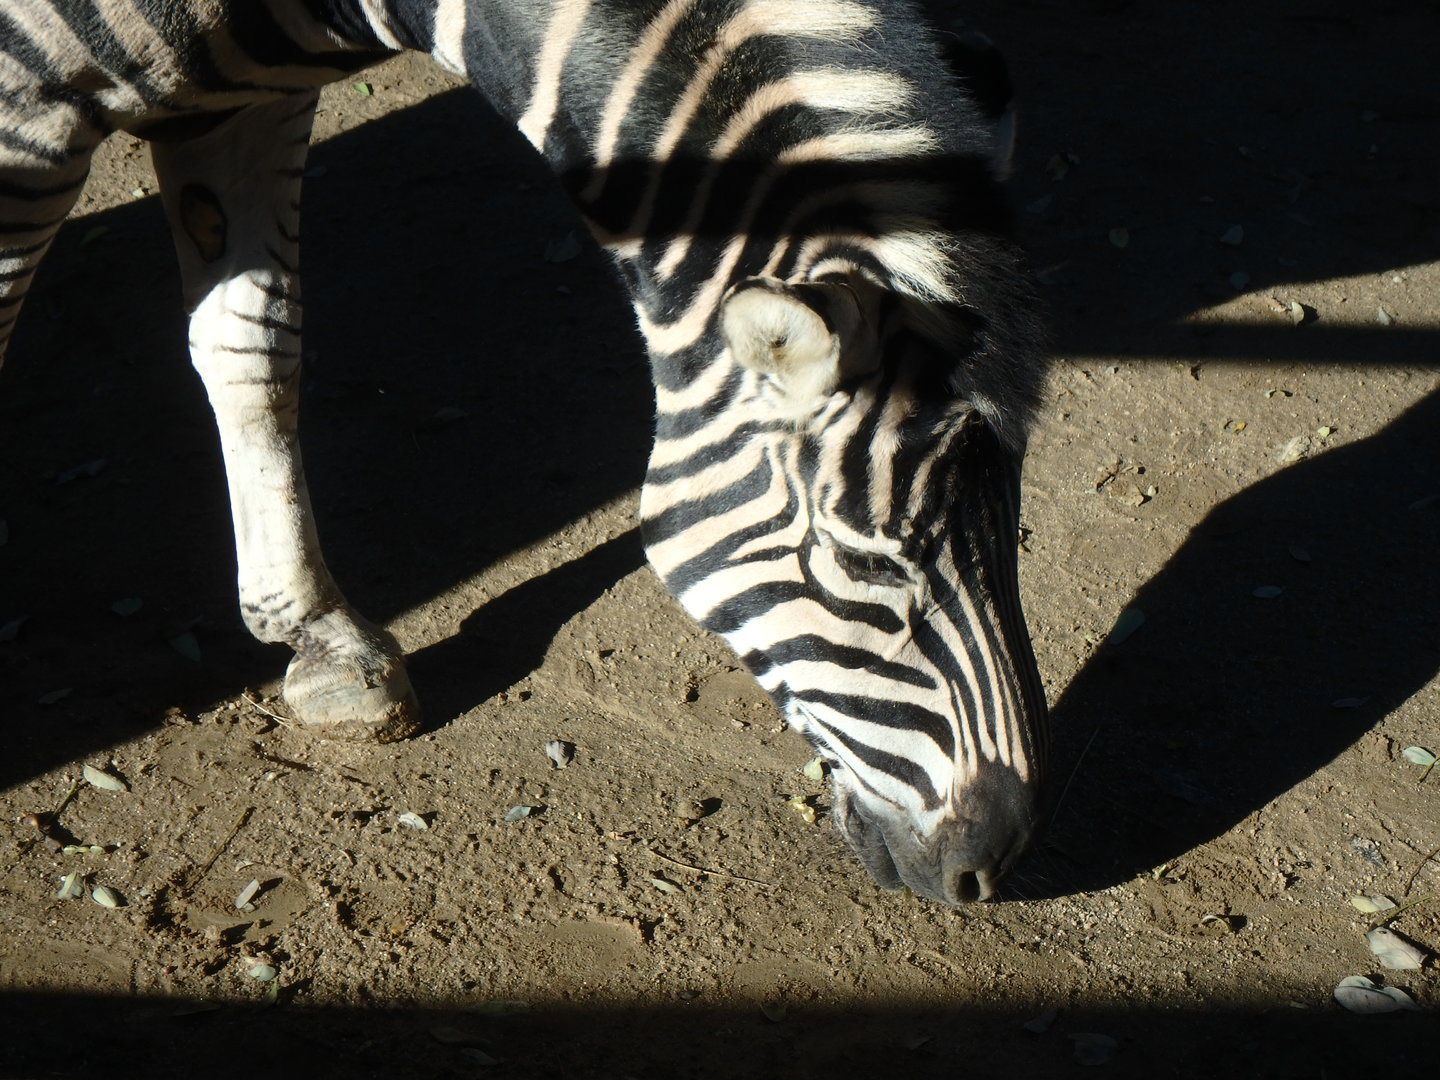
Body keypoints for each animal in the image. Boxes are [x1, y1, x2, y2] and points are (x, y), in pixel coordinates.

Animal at [0, 0, 1049, 904]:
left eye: (1013, 533)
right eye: (869, 563)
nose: (995, 866)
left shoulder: (244, 99)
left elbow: (254, 343)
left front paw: (320, 635)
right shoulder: (26, 120)